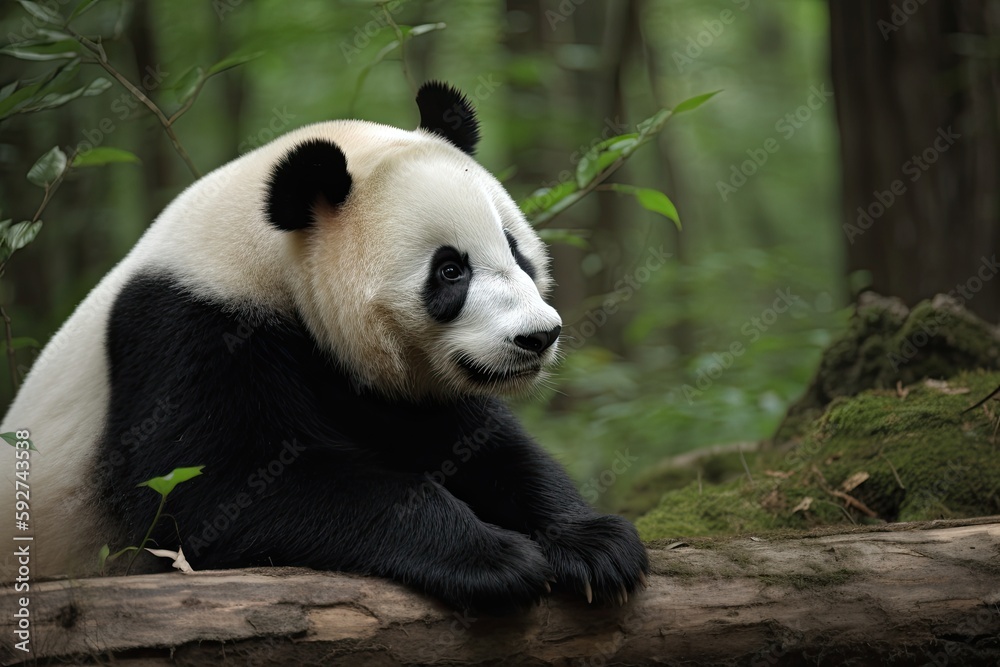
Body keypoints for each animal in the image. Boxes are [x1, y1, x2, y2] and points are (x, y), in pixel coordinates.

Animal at [1, 85, 648, 616]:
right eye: (449, 271)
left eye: (515, 250)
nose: (537, 336)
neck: (264, 258)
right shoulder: (187, 330)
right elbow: (213, 492)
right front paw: (493, 556)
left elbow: (481, 447)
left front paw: (594, 545)